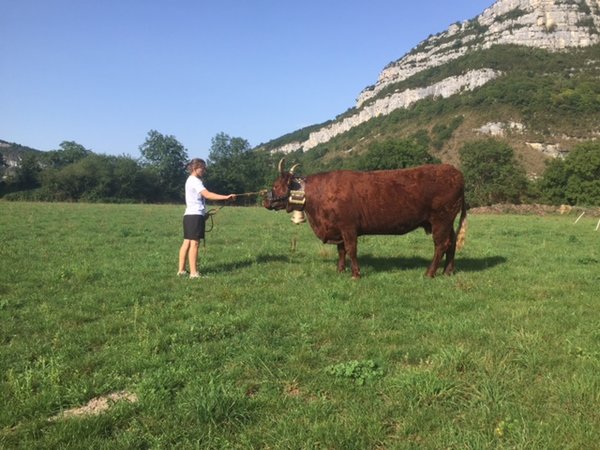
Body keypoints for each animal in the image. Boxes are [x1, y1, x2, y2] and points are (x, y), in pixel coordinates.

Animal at [264, 158, 468, 278]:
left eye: (276, 185)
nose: (265, 200)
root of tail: (455, 172)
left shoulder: (348, 227)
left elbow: (351, 249)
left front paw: (356, 274)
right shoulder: (338, 228)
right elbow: (341, 250)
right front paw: (340, 270)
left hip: (441, 219)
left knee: (441, 245)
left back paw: (430, 273)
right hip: (446, 221)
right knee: (452, 243)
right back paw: (448, 271)